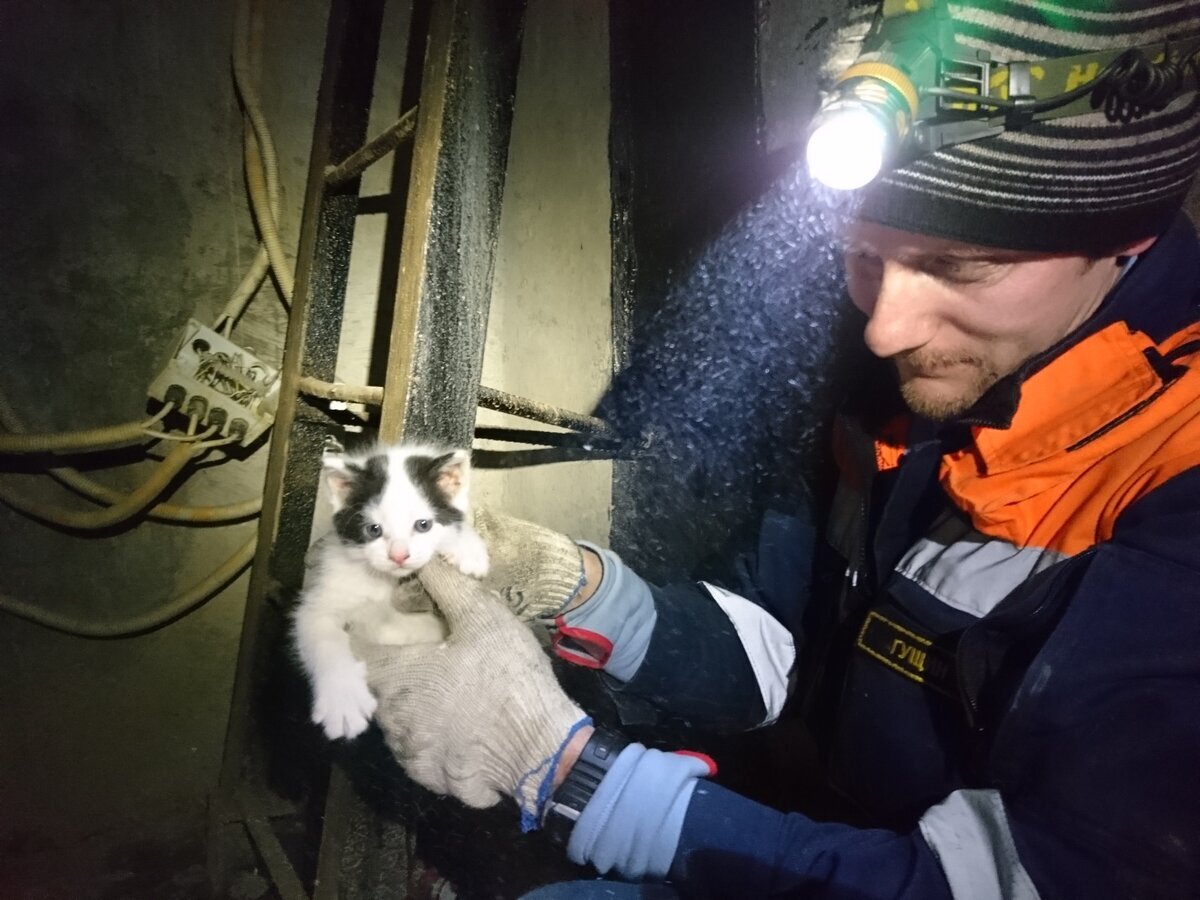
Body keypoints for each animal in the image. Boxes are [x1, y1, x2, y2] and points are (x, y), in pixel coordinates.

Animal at [292, 441, 489, 744]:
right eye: (374, 529)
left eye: (423, 525)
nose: (398, 556)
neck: (387, 582)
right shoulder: (326, 591)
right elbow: (321, 630)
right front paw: (342, 701)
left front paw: (466, 547)